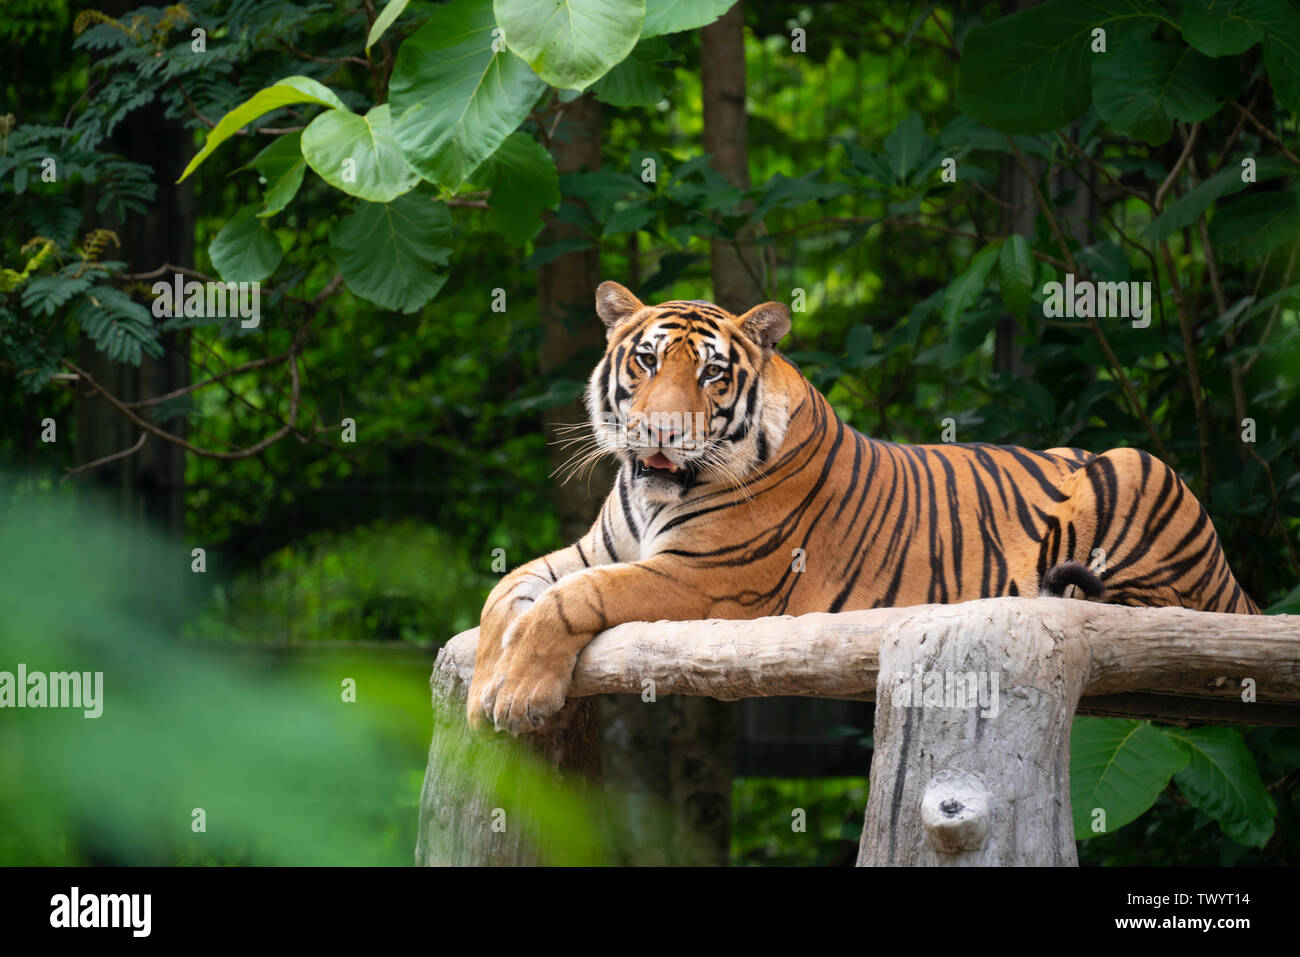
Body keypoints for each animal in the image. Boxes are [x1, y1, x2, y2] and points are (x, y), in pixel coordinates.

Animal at [467, 278, 1258, 733]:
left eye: (713, 374)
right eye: (647, 361)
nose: (662, 432)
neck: (652, 491)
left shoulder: (705, 577)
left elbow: (575, 598)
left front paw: (519, 693)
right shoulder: (591, 550)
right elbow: (506, 592)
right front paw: (480, 689)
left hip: (1137, 467)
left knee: (1162, 610)